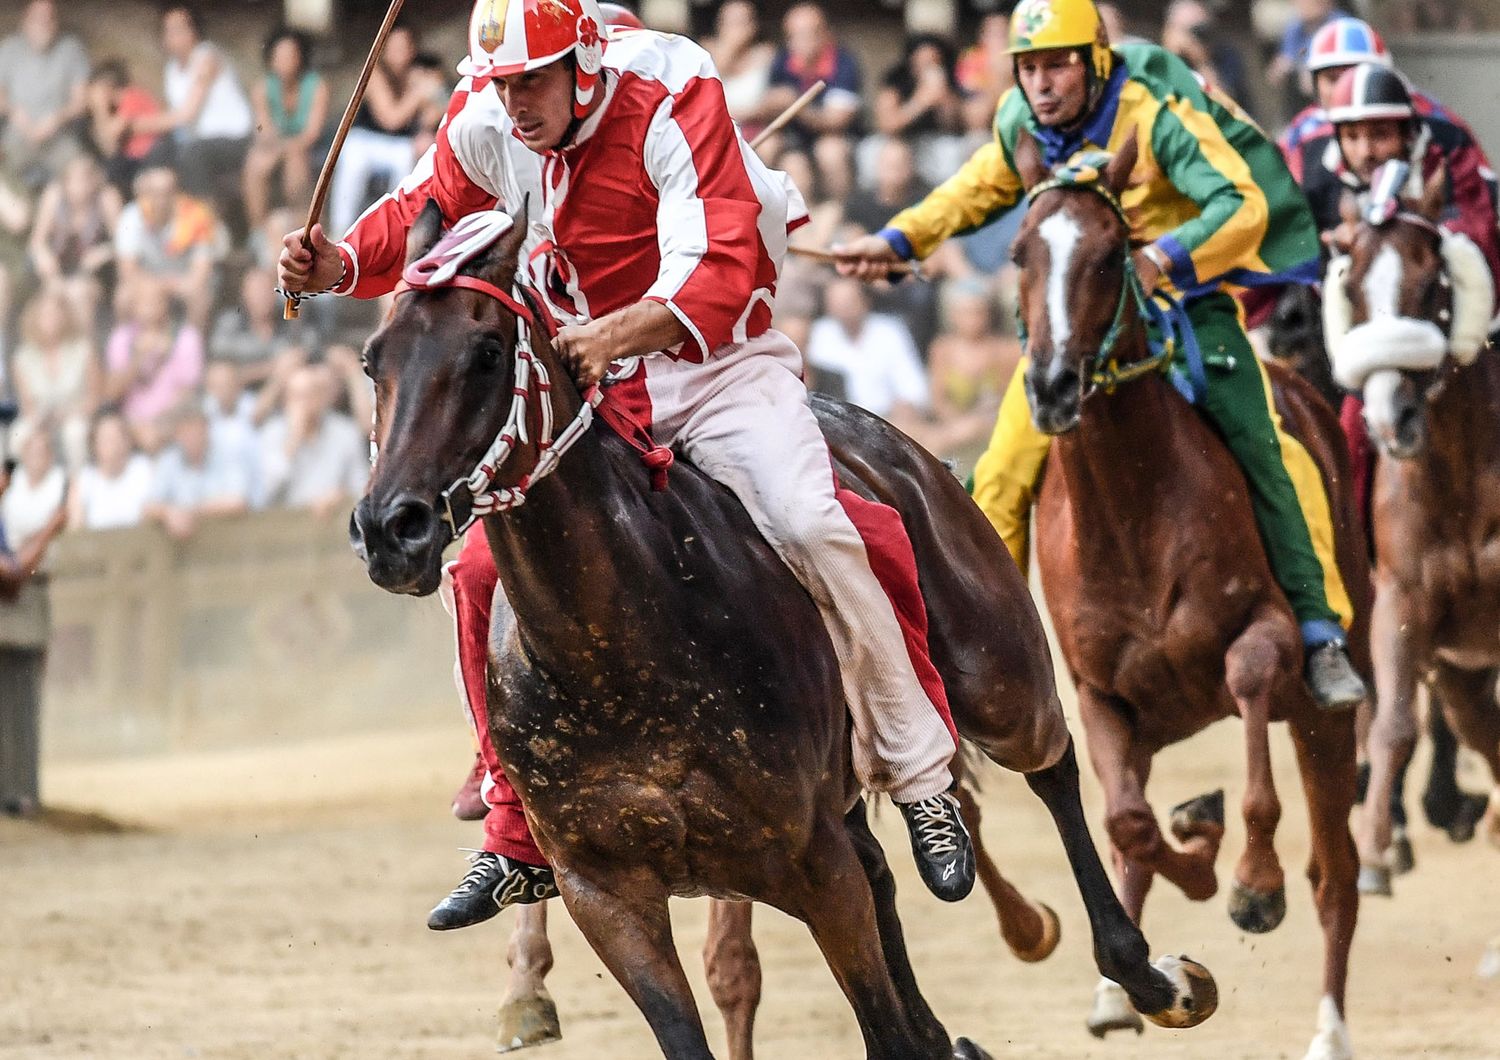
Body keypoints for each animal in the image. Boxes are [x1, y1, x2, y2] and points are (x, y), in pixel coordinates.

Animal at [354, 200, 1218, 1060]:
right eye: (372, 361)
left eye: (487, 353)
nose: (390, 527)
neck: (621, 653)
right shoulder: (606, 890)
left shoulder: (810, 861)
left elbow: (879, 1020)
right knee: (886, 867)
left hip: (996, 674)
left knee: (1053, 765)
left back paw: (1144, 974)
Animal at [1008, 132, 1374, 1060]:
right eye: (1022, 252)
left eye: (1112, 253)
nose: (1054, 387)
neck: (1131, 508)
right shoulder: (1101, 692)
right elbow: (1131, 826)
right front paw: (1195, 856)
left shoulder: (1262, 634)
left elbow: (1251, 727)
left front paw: (1251, 882)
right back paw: (1120, 989)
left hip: (1325, 714)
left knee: (1339, 874)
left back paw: (1329, 1026)